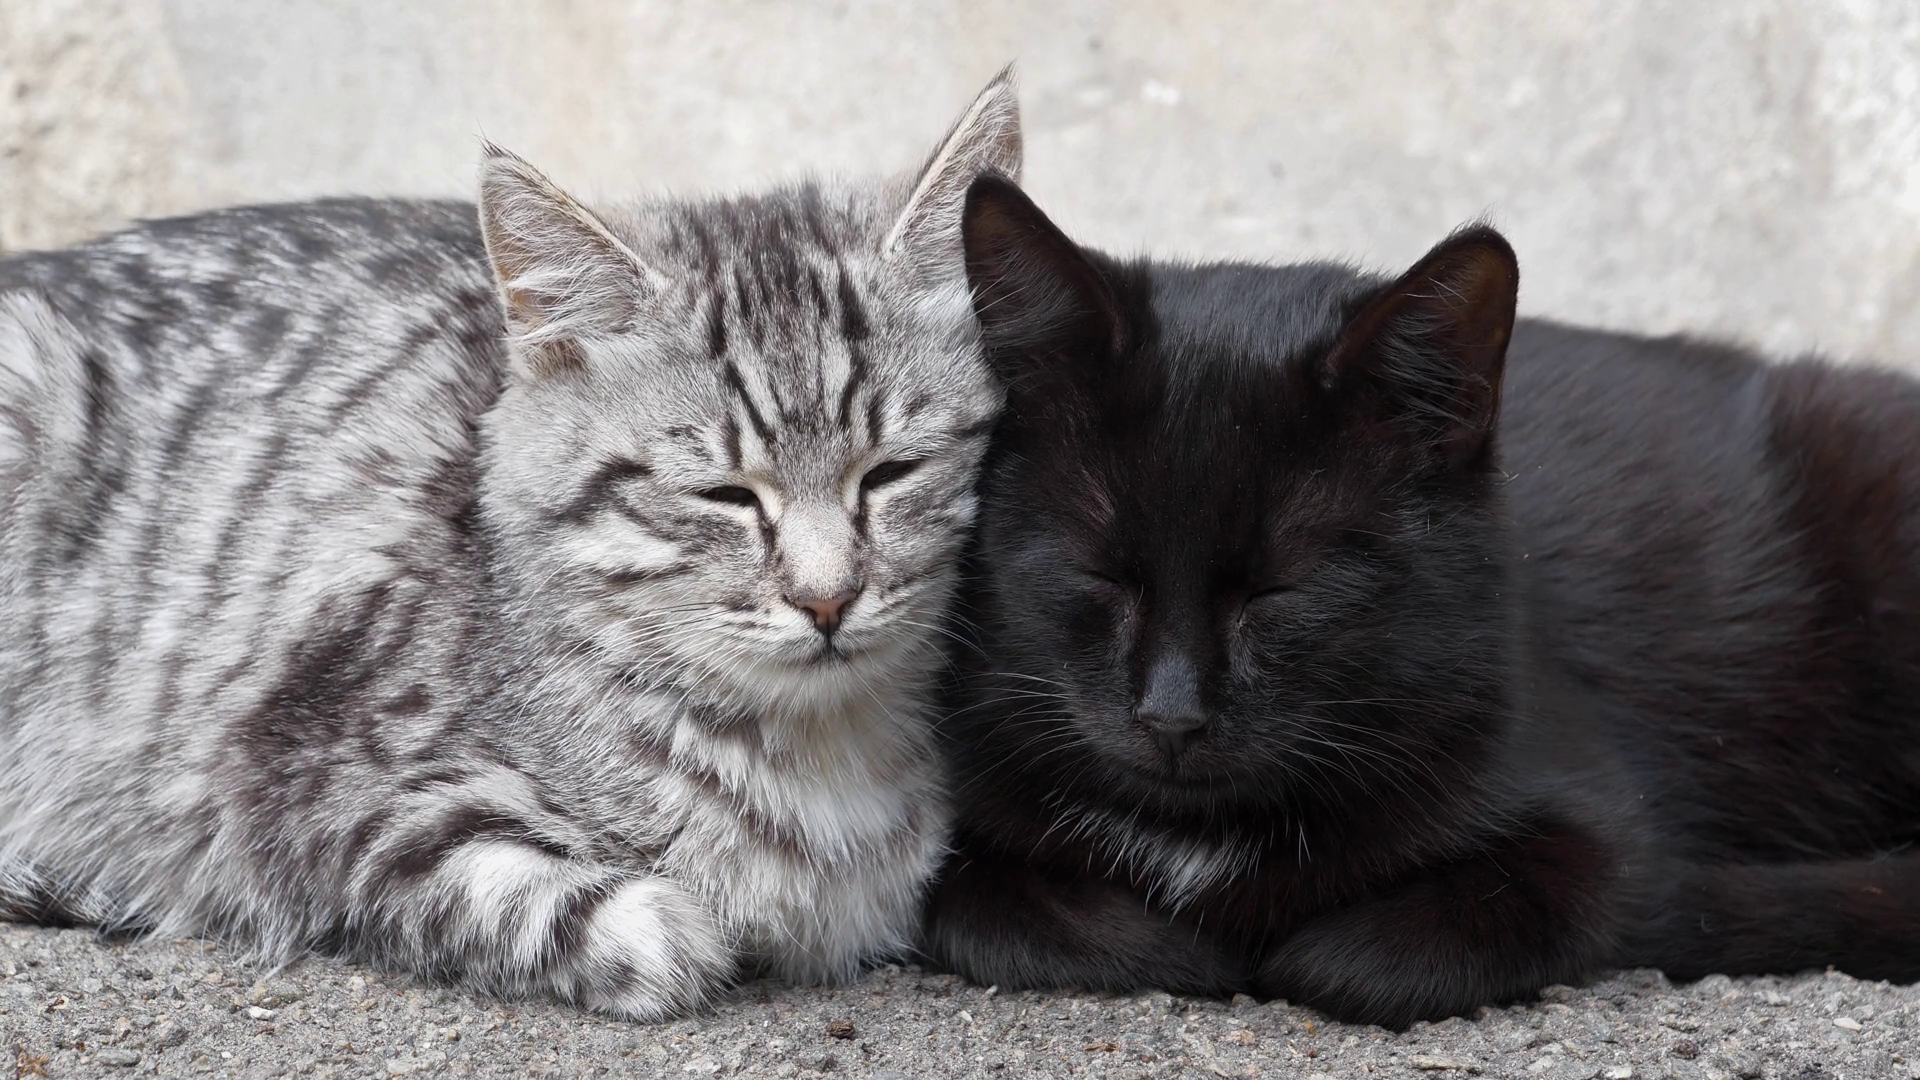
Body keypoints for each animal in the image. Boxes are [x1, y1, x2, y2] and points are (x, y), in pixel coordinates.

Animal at [0, 71, 1019, 1020]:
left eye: (889, 474)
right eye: (725, 495)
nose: (826, 597)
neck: (823, 753)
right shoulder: (313, 787)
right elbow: (603, 917)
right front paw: (685, 924)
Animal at [921, 174, 1920, 1029]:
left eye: (1284, 588)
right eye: (1099, 573)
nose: (1171, 715)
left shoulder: (1598, 825)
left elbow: (1386, 957)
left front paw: (1281, 951)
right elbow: (969, 904)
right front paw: (1177, 948)